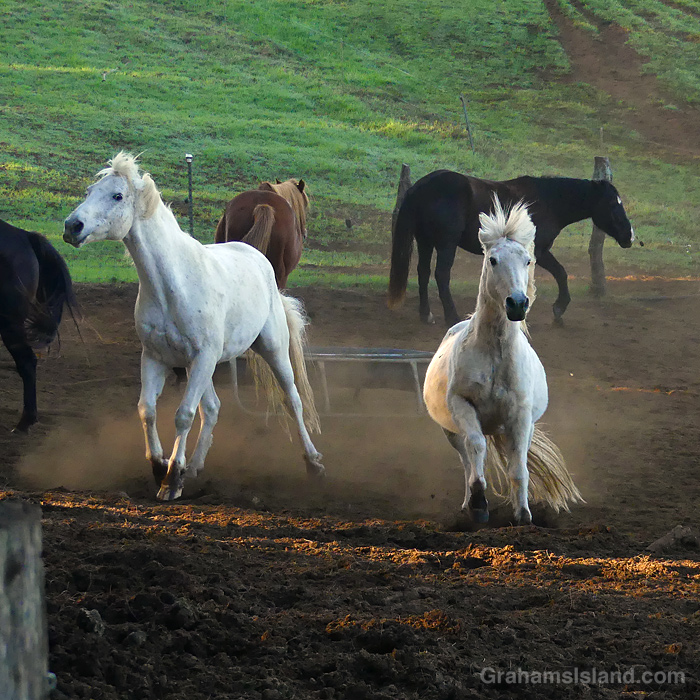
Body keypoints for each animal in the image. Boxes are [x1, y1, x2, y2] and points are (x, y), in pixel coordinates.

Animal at [63, 153, 324, 501]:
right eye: (90, 191)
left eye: (117, 195)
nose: (72, 226)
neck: (172, 285)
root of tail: (256, 256)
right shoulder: (157, 358)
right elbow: (147, 410)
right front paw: (160, 466)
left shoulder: (202, 359)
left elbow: (183, 415)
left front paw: (171, 480)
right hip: (199, 366)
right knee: (212, 408)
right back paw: (196, 466)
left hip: (271, 349)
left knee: (292, 398)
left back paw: (313, 462)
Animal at [388, 169, 635, 325]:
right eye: (612, 204)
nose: (629, 236)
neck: (548, 202)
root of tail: (420, 187)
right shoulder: (539, 252)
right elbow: (560, 273)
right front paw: (558, 309)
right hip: (446, 244)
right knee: (441, 275)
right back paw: (452, 316)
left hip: (425, 241)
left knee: (423, 273)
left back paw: (426, 315)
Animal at [422, 196, 583, 525]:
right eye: (493, 260)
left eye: (528, 261)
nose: (517, 303)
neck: (495, 356)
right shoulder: (463, 405)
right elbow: (476, 449)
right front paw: (479, 504)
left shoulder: (519, 418)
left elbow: (518, 467)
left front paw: (523, 514)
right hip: (450, 430)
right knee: (467, 458)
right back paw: (469, 505)